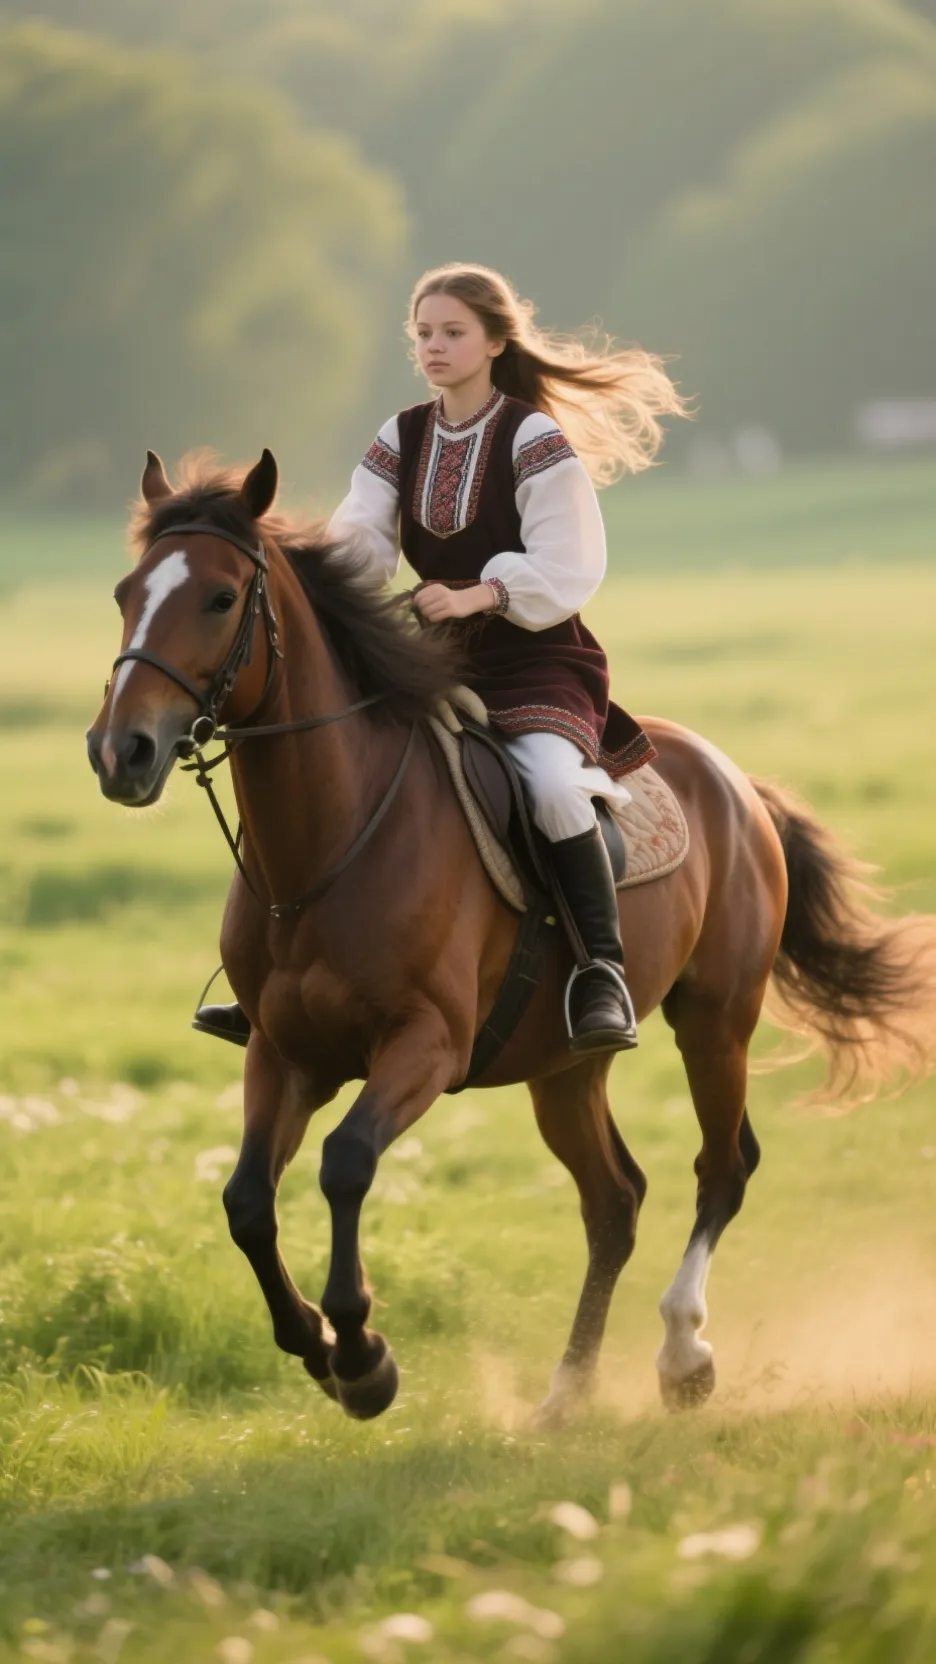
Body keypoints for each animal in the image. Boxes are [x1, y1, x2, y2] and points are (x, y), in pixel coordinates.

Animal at [86, 448, 936, 1424]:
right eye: (126, 593)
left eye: (221, 599)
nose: (120, 752)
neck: (332, 844)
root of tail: (738, 784)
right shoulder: (282, 1050)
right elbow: (247, 1202)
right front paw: (316, 1348)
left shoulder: (425, 1044)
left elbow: (345, 1164)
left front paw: (363, 1356)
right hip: (565, 1066)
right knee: (614, 1201)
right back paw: (565, 1394)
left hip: (716, 1022)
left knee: (722, 1168)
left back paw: (682, 1354)